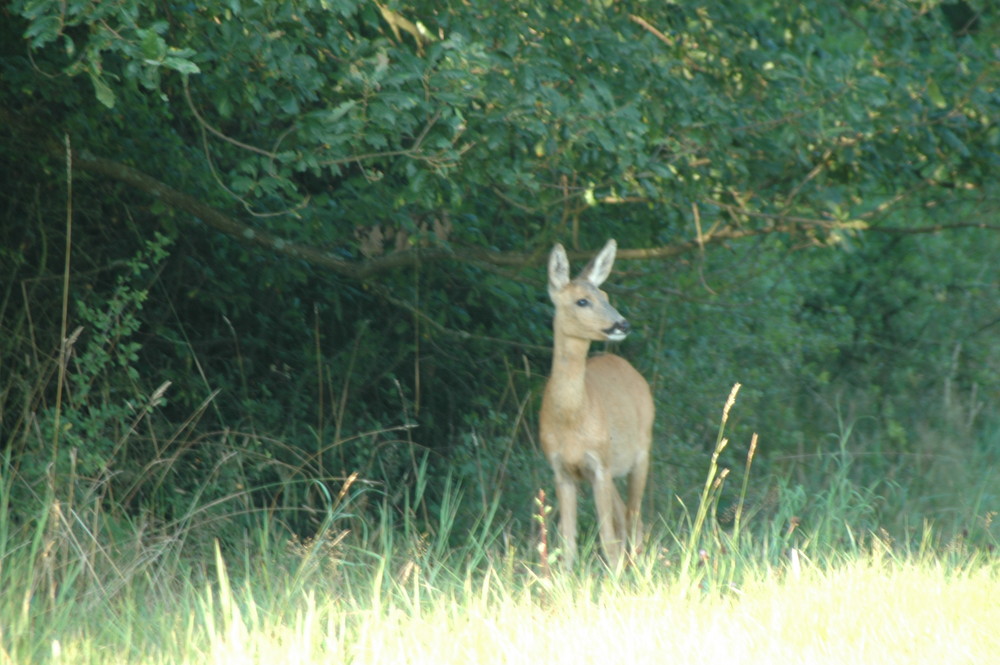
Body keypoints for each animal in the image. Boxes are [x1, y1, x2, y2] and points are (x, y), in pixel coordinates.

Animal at [540, 239, 656, 564]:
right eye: (582, 301)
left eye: (604, 295)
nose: (622, 324)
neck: (571, 420)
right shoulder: (561, 469)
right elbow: (567, 541)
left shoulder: (599, 465)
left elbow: (607, 539)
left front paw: (615, 573)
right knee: (624, 517)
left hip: (641, 452)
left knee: (633, 517)